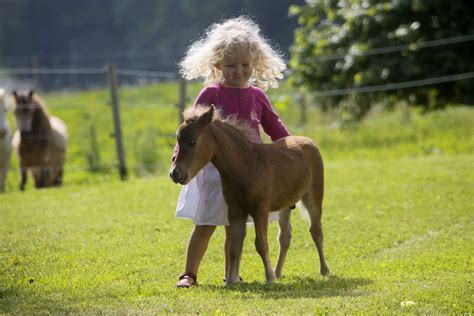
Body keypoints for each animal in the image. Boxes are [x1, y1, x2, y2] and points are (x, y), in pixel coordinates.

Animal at [170, 107, 330, 286]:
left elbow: (261, 244)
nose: (175, 174)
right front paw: (230, 281)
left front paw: (269, 278)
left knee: (316, 230)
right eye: (178, 141)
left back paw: (324, 270)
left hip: (314, 196)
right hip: (285, 205)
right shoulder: (235, 211)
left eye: (192, 142)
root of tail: (310, 142)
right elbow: (234, 246)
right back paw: (278, 272)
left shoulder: (260, 210)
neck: (245, 165)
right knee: (285, 236)